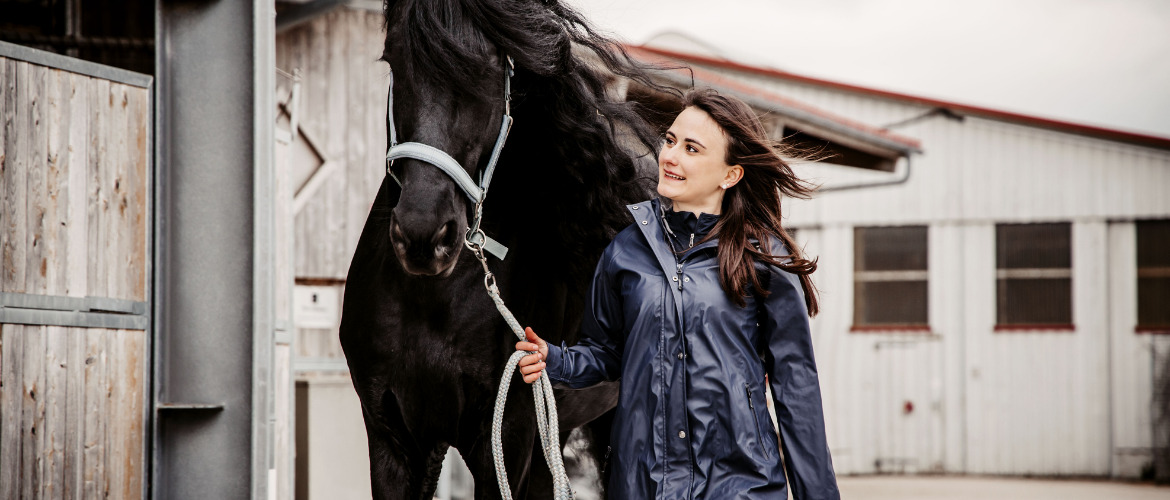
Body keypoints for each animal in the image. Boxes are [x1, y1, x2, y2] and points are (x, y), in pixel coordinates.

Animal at [341, 1, 678, 498]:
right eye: (393, 61)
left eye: (489, 69)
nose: (423, 235)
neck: (430, 303)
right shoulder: (394, 440)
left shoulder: (504, 441)